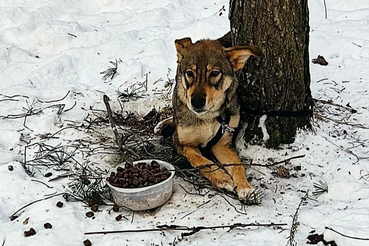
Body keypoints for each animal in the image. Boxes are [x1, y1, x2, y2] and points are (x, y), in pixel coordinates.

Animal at [155, 35, 262, 199]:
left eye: (214, 73)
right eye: (189, 73)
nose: (197, 102)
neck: (208, 117)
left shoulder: (222, 143)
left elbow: (237, 165)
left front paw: (245, 187)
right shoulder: (183, 144)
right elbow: (202, 161)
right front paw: (222, 179)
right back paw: (163, 125)